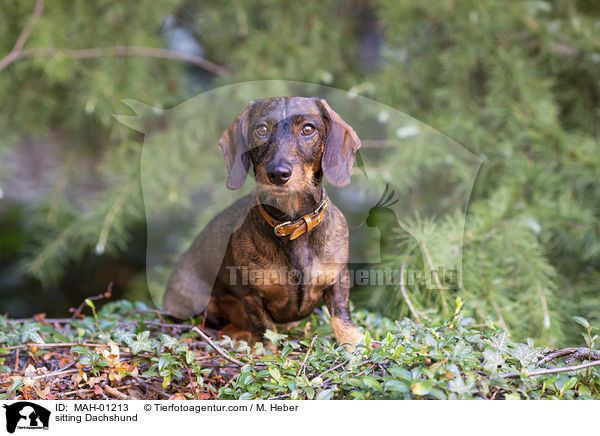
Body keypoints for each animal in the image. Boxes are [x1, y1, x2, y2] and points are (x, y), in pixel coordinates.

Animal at [162, 97, 366, 350]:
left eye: (308, 129)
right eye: (261, 129)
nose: (278, 173)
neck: (292, 225)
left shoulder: (338, 279)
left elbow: (340, 313)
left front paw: (354, 340)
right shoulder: (252, 295)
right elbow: (265, 328)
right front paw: (266, 350)